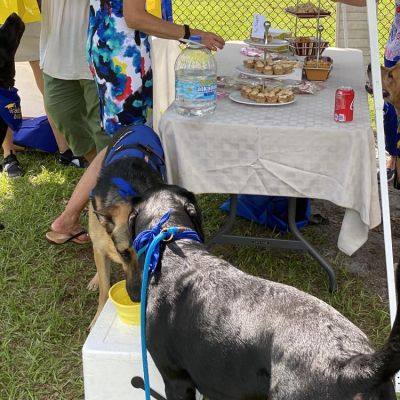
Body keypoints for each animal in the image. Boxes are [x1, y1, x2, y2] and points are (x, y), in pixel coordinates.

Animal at [87, 125, 166, 328]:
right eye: (124, 253)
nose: (137, 298)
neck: (128, 194)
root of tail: (137, 124)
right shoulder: (101, 246)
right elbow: (104, 288)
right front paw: (98, 317)